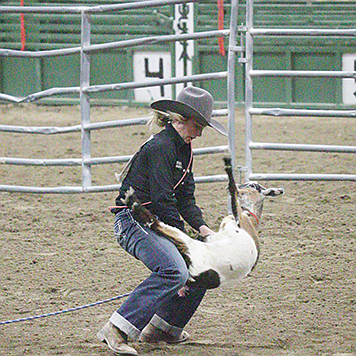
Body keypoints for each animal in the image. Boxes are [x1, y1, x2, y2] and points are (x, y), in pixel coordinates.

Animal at [124, 160, 286, 290]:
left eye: (252, 185)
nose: (240, 187)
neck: (250, 218)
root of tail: (192, 275)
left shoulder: (237, 218)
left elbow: (234, 195)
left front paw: (229, 173)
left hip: (187, 243)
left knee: (154, 223)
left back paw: (132, 200)